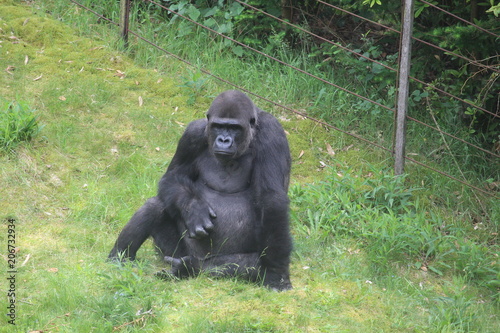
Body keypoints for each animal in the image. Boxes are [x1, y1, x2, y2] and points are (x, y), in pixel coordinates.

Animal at [107, 89, 292, 290]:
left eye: (235, 128)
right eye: (218, 126)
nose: (224, 140)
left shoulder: (272, 134)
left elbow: (270, 199)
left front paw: (275, 274)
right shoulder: (192, 133)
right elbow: (173, 176)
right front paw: (195, 209)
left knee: (248, 264)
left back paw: (190, 268)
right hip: (175, 251)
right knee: (156, 205)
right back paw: (119, 258)